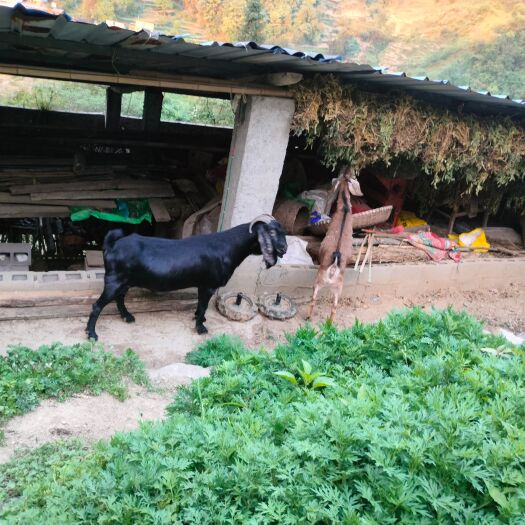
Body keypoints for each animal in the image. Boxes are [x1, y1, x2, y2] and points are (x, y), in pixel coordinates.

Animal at [86, 214, 287, 341]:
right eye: (271, 232)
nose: (284, 248)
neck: (228, 247)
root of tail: (112, 245)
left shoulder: (201, 284)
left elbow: (200, 304)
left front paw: (199, 318)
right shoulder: (209, 285)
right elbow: (204, 305)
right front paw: (201, 328)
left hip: (125, 281)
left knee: (119, 298)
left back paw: (127, 317)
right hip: (114, 280)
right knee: (97, 306)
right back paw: (92, 334)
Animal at [306, 167, 363, 322]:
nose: (348, 165)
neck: (345, 208)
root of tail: (333, 268)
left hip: (319, 280)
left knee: (314, 299)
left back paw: (309, 318)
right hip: (338, 287)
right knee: (334, 307)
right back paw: (330, 324)